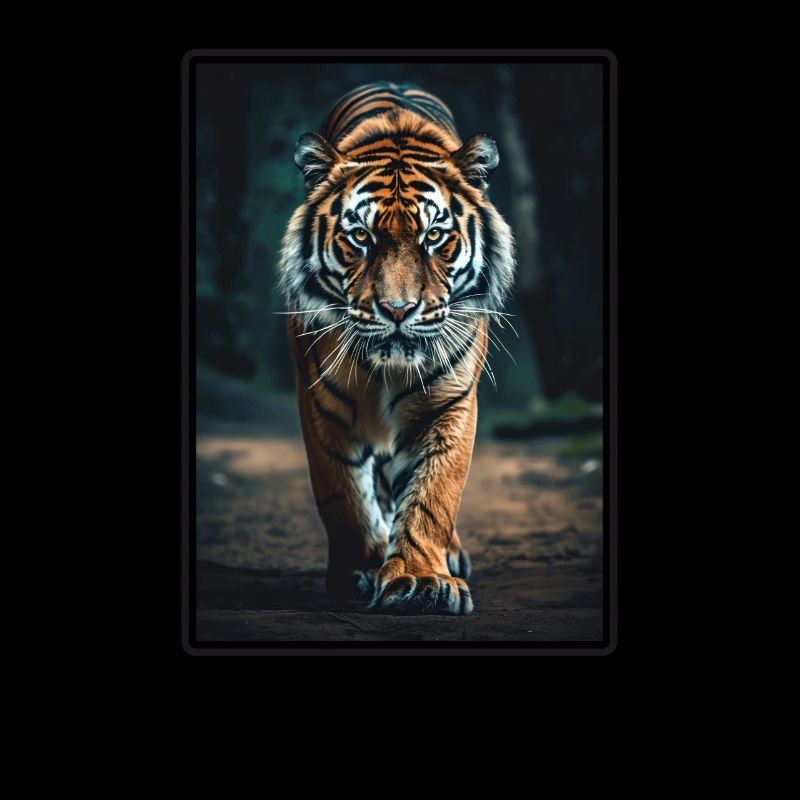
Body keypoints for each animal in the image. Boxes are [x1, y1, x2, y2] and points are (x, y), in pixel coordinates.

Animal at [278, 81, 515, 615]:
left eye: (434, 236)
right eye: (360, 237)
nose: (398, 309)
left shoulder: (449, 404)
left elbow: (432, 494)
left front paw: (420, 580)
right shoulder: (321, 404)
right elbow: (343, 494)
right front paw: (361, 570)